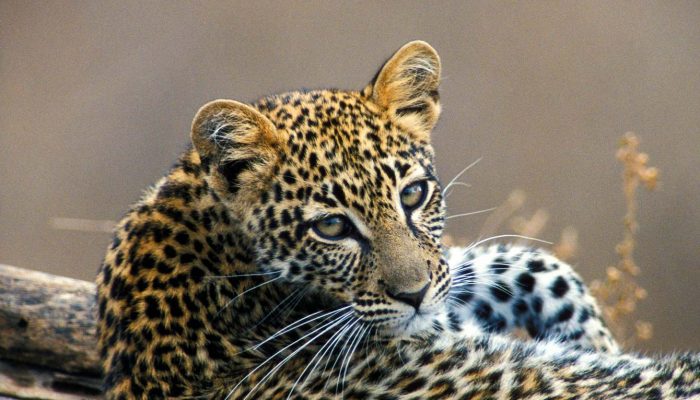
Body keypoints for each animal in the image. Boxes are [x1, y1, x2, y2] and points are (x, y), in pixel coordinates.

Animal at [97, 40, 699, 399]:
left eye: (412, 195)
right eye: (331, 228)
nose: (413, 297)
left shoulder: (442, 283)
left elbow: (516, 261)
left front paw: (593, 335)